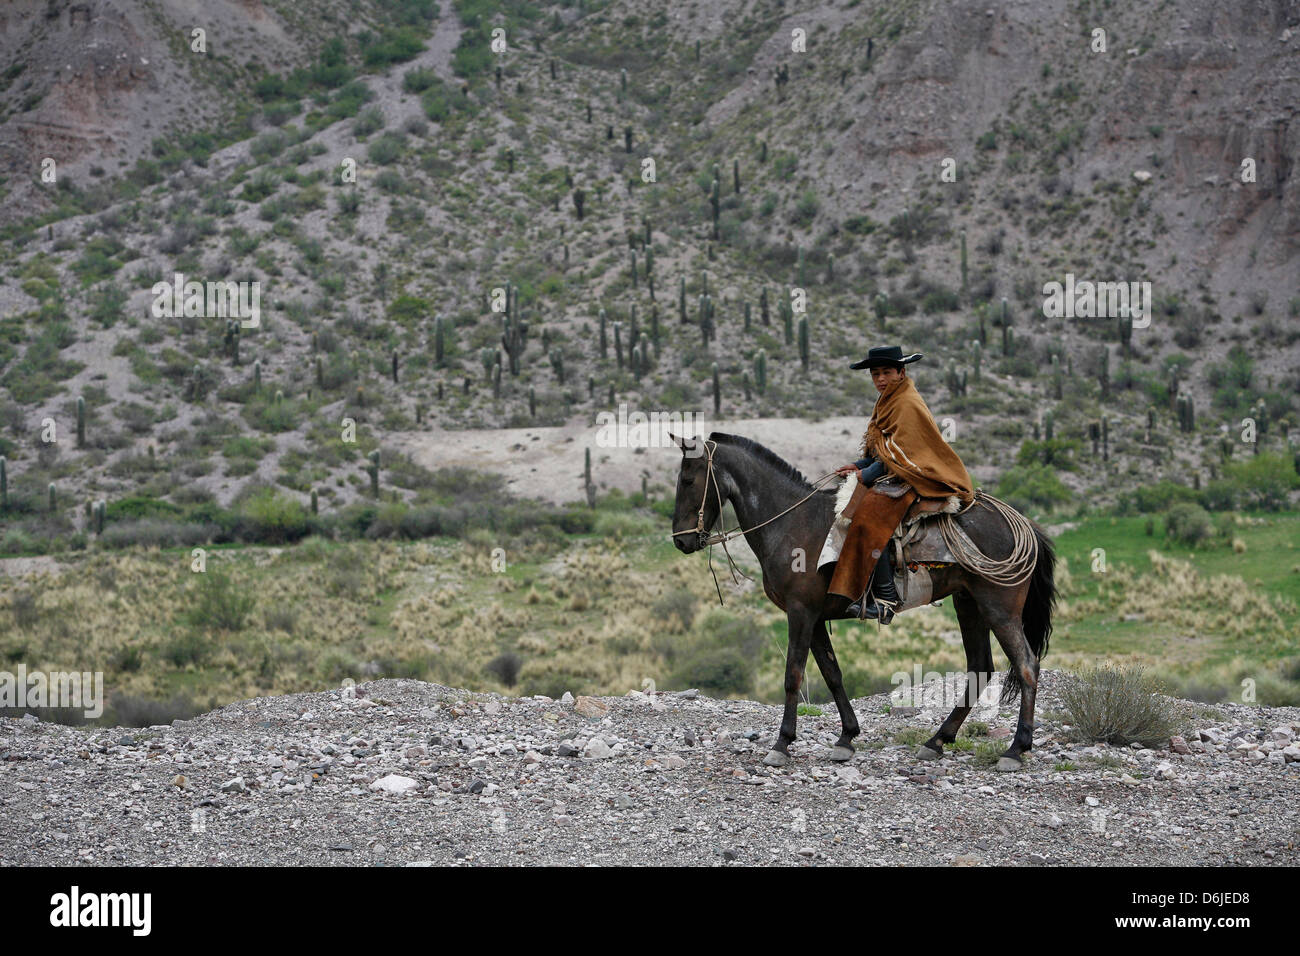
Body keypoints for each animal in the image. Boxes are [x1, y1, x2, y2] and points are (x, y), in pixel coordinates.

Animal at [670, 429, 1055, 775]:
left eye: (688, 480)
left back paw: (1016, 748)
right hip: (969, 603)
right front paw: (846, 738)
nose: (681, 541)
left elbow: (793, 674)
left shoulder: (800, 612)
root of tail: (1023, 521)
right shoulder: (815, 617)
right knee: (980, 667)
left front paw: (782, 744)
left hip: (999, 606)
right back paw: (937, 741)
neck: (793, 522)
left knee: (1026, 664)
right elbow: (833, 674)